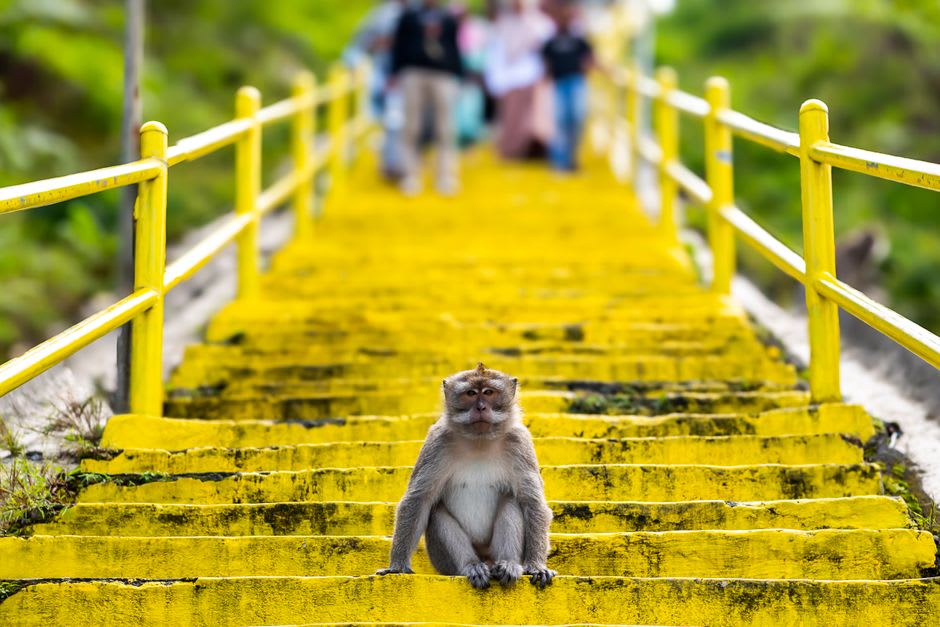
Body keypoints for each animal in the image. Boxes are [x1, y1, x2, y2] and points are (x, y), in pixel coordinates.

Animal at [376, 363, 555, 589]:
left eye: (488, 393)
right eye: (470, 394)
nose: (480, 408)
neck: (479, 441)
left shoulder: (519, 443)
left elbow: (532, 502)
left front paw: (537, 566)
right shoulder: (437, 442)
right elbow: (418, 499)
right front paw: (397, 567)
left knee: (513, 501)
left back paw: (508, 564)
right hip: (444, 562)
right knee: (436, 512)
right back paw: (471, 566)